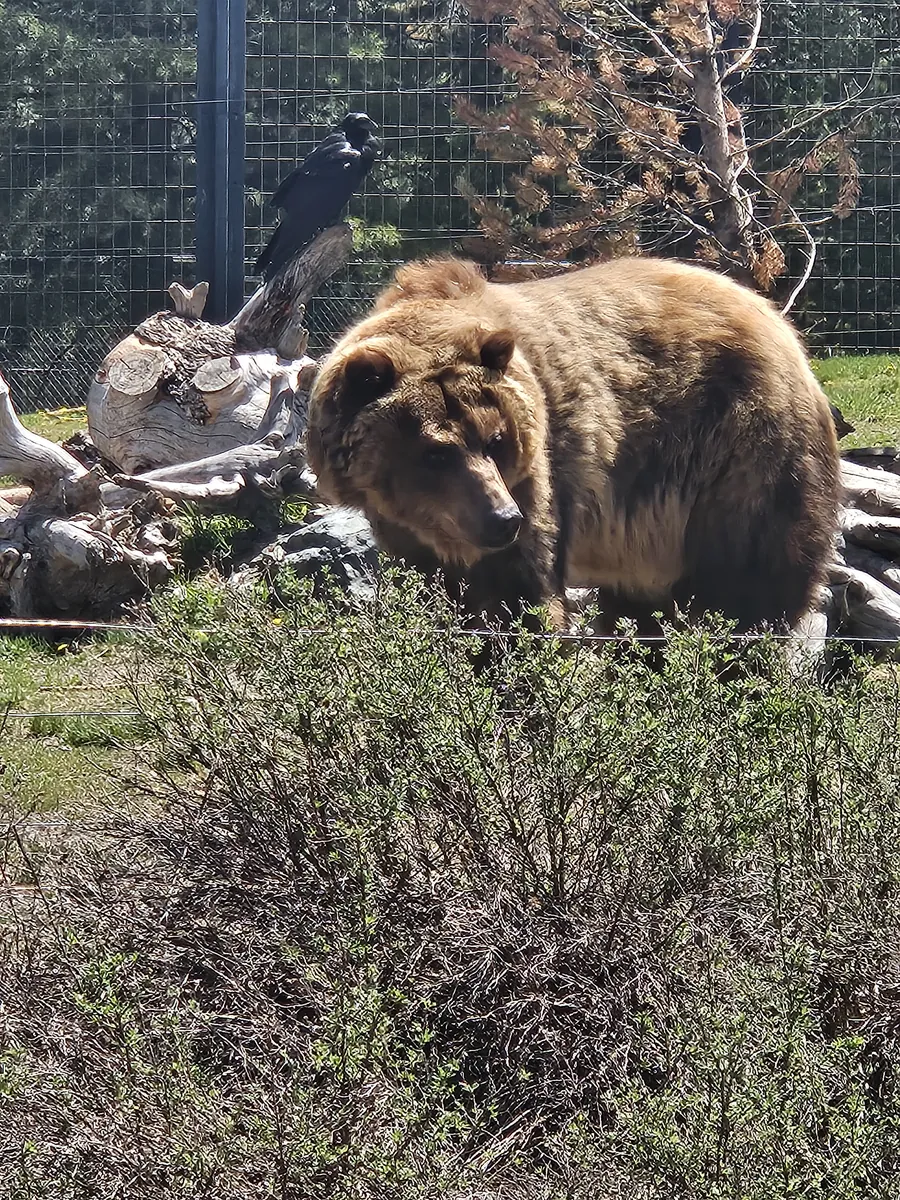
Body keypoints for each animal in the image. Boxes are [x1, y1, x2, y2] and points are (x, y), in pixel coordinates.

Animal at [306, 255, 840, 635]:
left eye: (495, 440)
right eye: (436, 451)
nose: (503, 519)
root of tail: (778, 324)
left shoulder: (540, 471)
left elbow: (520, 592)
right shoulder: (401, 523)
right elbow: (432, 587)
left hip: (735, 449)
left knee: (748, 582)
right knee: (642, 610)